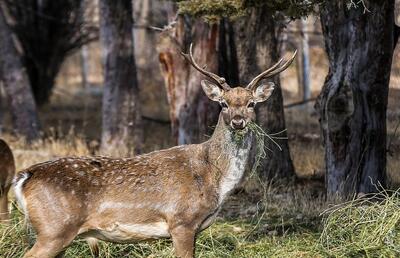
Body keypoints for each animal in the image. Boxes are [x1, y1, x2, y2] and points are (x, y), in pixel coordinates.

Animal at [14, 44, 296, 258]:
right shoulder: (181, 221)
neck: (214, 179)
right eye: (224, 104)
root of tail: (24, 176)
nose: (238, 121)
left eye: (251, 104)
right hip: (55, 229)